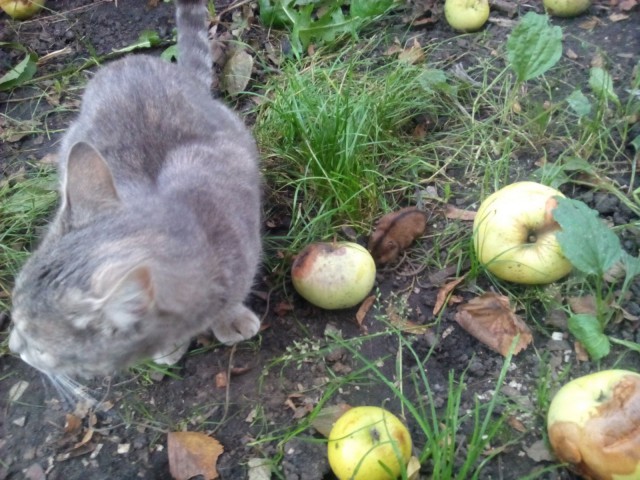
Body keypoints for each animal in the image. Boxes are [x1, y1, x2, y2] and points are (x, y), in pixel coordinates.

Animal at [8, 0, 262, 378]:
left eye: (37, 345)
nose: (13, 347)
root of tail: (129, 61)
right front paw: (171, 346)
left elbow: (231, 298)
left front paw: (230, 319)